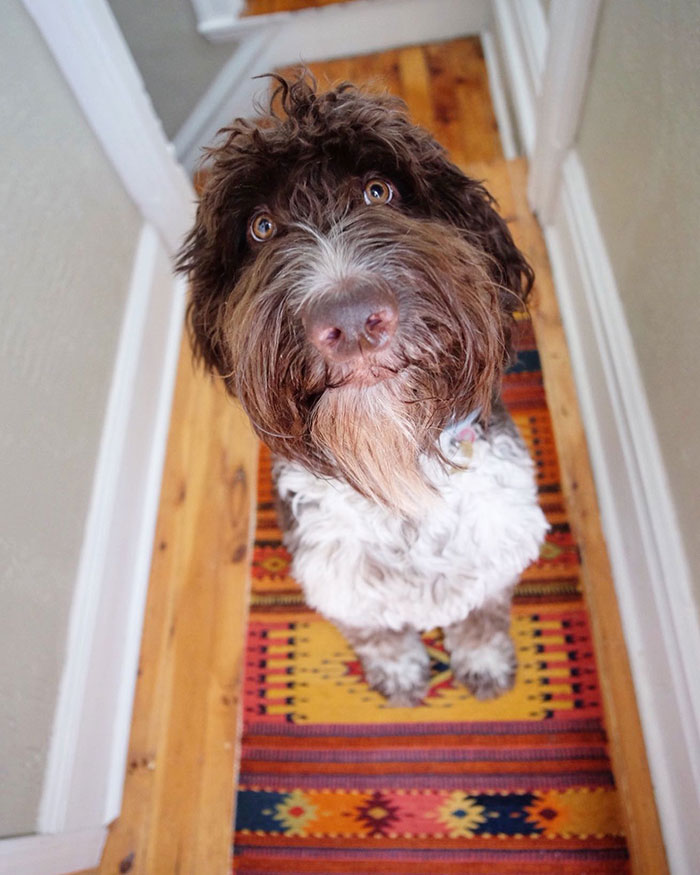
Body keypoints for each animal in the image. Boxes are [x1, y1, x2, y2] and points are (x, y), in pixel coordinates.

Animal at [178, 73, 548, 704]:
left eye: (380, 191)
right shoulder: (336, 576)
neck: (395, 471)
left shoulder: (497, 544)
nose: (350, 319)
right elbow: (376, 632)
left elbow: (481, 613)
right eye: (261, 228)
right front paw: (397, 671)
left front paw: (481, 660)